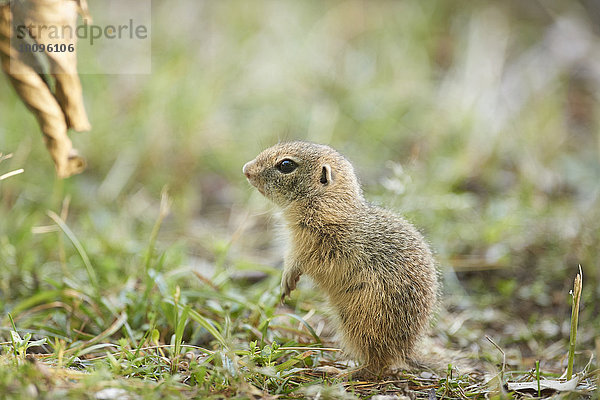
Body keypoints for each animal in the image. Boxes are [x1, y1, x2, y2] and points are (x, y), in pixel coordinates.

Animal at [241, 142, 438, 376]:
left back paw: (341, 372)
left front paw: (287, 281)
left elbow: (297, 261)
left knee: (377, 365)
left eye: (286, 165)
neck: (327, 202)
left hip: (362, 319)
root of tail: (405, 350)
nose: (246, 169)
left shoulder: (313, 246)